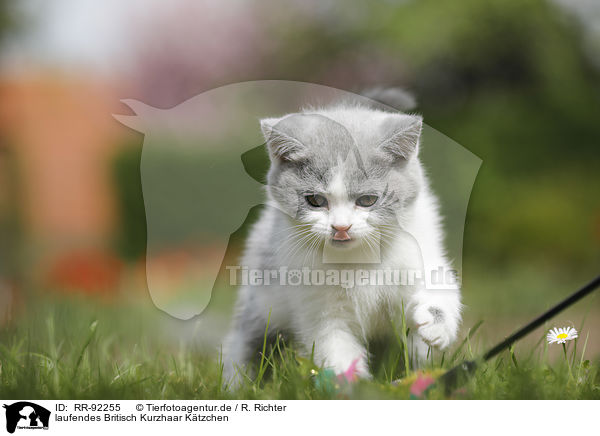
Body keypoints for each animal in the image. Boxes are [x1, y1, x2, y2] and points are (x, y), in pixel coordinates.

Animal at [223, 102, 462, 384]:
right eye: (315, 200)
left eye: (368, 200)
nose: (340, 227)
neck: (360, 260)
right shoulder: (318, 305)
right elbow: (335, 346)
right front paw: (353, 385)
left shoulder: (419, 251)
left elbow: (439, 283)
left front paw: (436, 324)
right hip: (262, 299)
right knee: (247, 342)